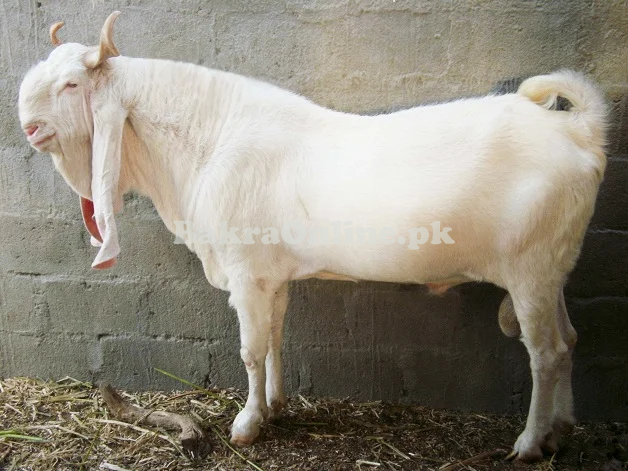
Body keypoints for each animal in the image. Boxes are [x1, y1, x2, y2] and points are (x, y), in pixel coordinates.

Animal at [18, 12, 608, 462]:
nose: (27, 125)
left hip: (529, 272)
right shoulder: (271, 275)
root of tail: (579, 131)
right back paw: (561, 431)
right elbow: (276, 337)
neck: (210, 141)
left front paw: (246, 424)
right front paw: (275, 404)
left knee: (546, 353)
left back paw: (529, 443)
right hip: (552, 271)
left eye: (72, 85)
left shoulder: (245, 272)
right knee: (570, 340)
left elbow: (251, 349)